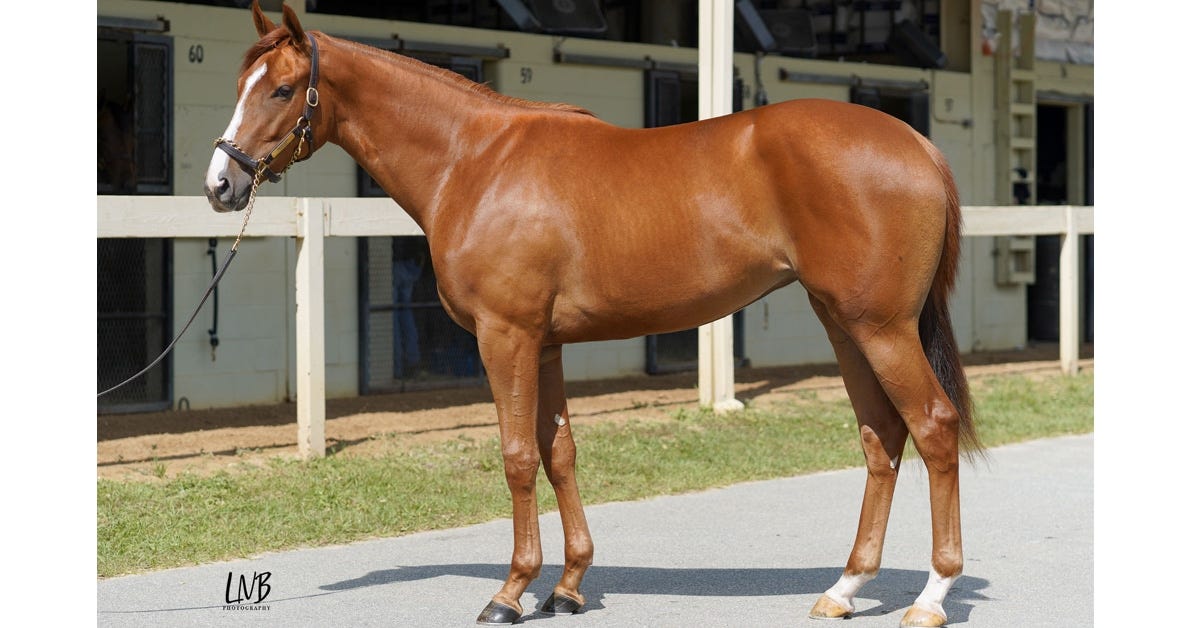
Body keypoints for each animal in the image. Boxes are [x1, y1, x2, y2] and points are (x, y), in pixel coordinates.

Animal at [201, 2, 979, 624]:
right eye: (239, 86)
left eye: (281, 89)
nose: (220, 183)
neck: (474, 161)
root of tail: (918, 145)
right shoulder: (544, 344)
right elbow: (560, 452)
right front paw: (569, 584)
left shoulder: (506, 338)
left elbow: (518, 457)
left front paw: (510, 592)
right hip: (843, 323)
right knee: (882, 437)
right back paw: (844, 588)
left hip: (880, 329)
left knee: (933, 427)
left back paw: (931, 596)